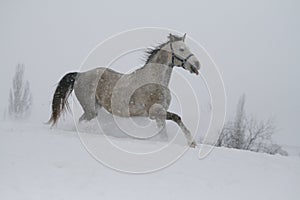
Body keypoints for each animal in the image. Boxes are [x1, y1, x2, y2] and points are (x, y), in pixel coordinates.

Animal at [48, 33, 200, 148]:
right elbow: (177, 117)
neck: (155, 79)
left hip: (94, 109)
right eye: (181, 49)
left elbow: (166, 130)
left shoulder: (159, 114)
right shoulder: (155, 112)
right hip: (90, 110)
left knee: (81, 121)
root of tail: (80, 74)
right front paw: (191, 142)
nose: (197, 65)